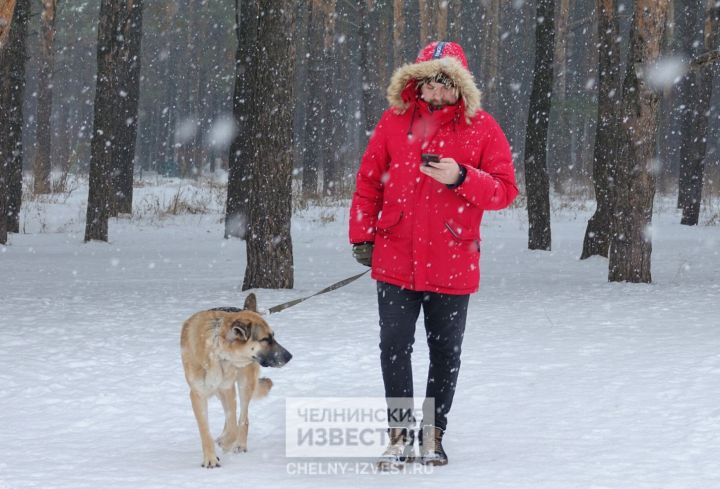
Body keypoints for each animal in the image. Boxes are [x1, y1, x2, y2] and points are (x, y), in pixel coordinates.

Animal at [181, 292, 292, 468]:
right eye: (265, 339)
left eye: (273, 337)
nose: (290, 356)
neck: (216, 351)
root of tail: (244, 308)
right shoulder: (197, 394)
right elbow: (205, 430)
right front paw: (210, 458)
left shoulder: (228, 388)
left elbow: (234, 425)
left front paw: (227, 443)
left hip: (244, 384)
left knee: (243, 419)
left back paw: (239, 444)